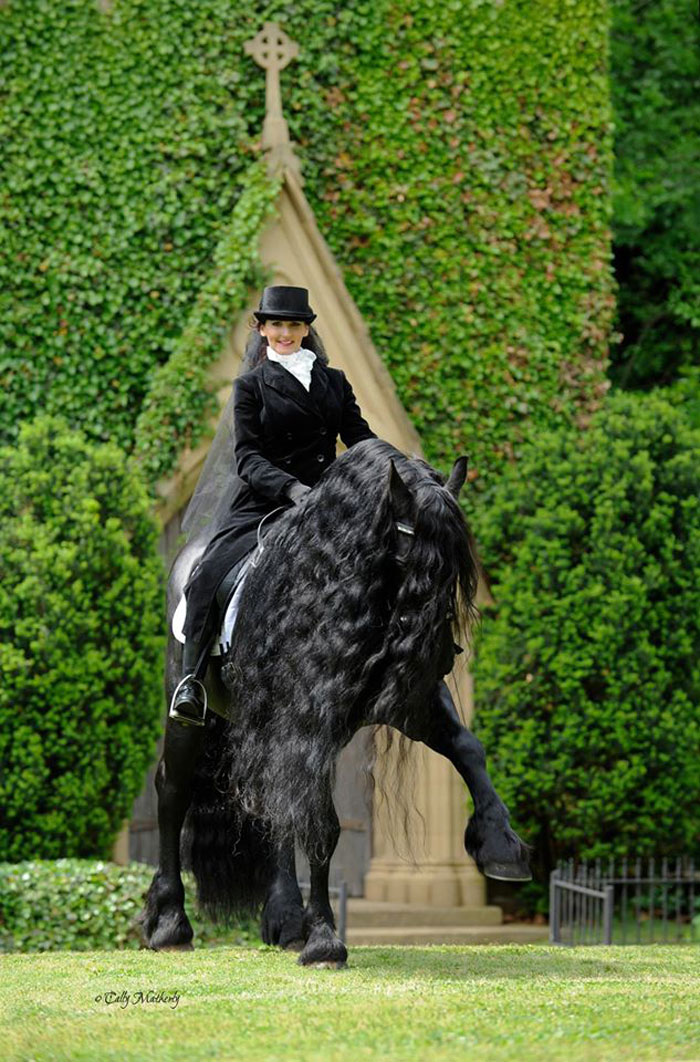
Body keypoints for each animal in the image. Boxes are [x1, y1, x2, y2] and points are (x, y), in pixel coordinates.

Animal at [139, 437, 530, 965]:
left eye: (456, 565)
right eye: (409, 555)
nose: (442, 655)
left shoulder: (411, 707)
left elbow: (469, 750)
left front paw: (499, 843)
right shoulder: (308, 723)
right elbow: (323, 825)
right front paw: (325, 939)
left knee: (272, 803)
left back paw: (284, 919)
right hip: (191, 716)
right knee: (172, 790)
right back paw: (169, 923)